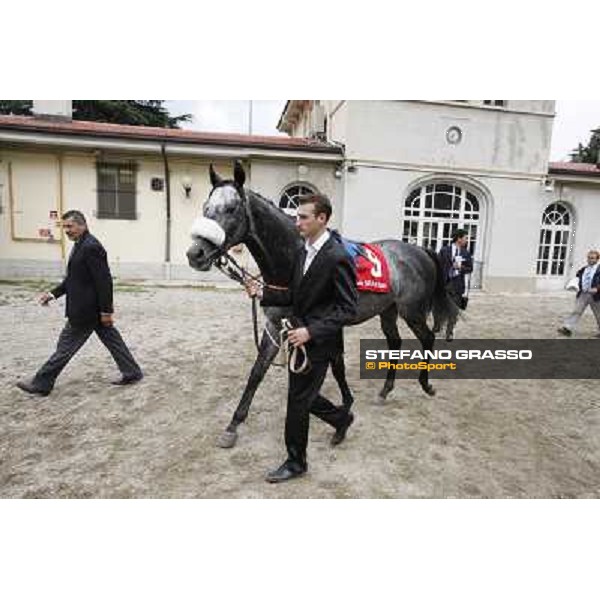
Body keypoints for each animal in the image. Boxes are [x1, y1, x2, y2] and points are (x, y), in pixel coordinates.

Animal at [185, 162, 458, 448]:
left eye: (231, 208)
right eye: (205, 207)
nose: (195, 254)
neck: (295, 260)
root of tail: (420, 250)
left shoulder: (323, 326)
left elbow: (334, 365)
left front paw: (346, 406)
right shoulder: (276, 326)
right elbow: (257, 372)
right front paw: (233, 424)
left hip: (412, 311)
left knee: (427, 338)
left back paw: (426, 384)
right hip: (387, 310)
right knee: (395, 343)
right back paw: (385, 390)